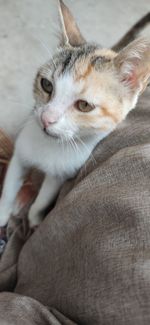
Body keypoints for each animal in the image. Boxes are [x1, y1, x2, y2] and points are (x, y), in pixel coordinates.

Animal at [0, 0, 149, 228]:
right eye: (46, 85)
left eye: (84, 105)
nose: (46, 119)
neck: (49, 146)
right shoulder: (20, 155)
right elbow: (8, 190)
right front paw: (3, 213)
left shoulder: (61, 175)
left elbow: (43, 200)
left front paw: (34, 219)